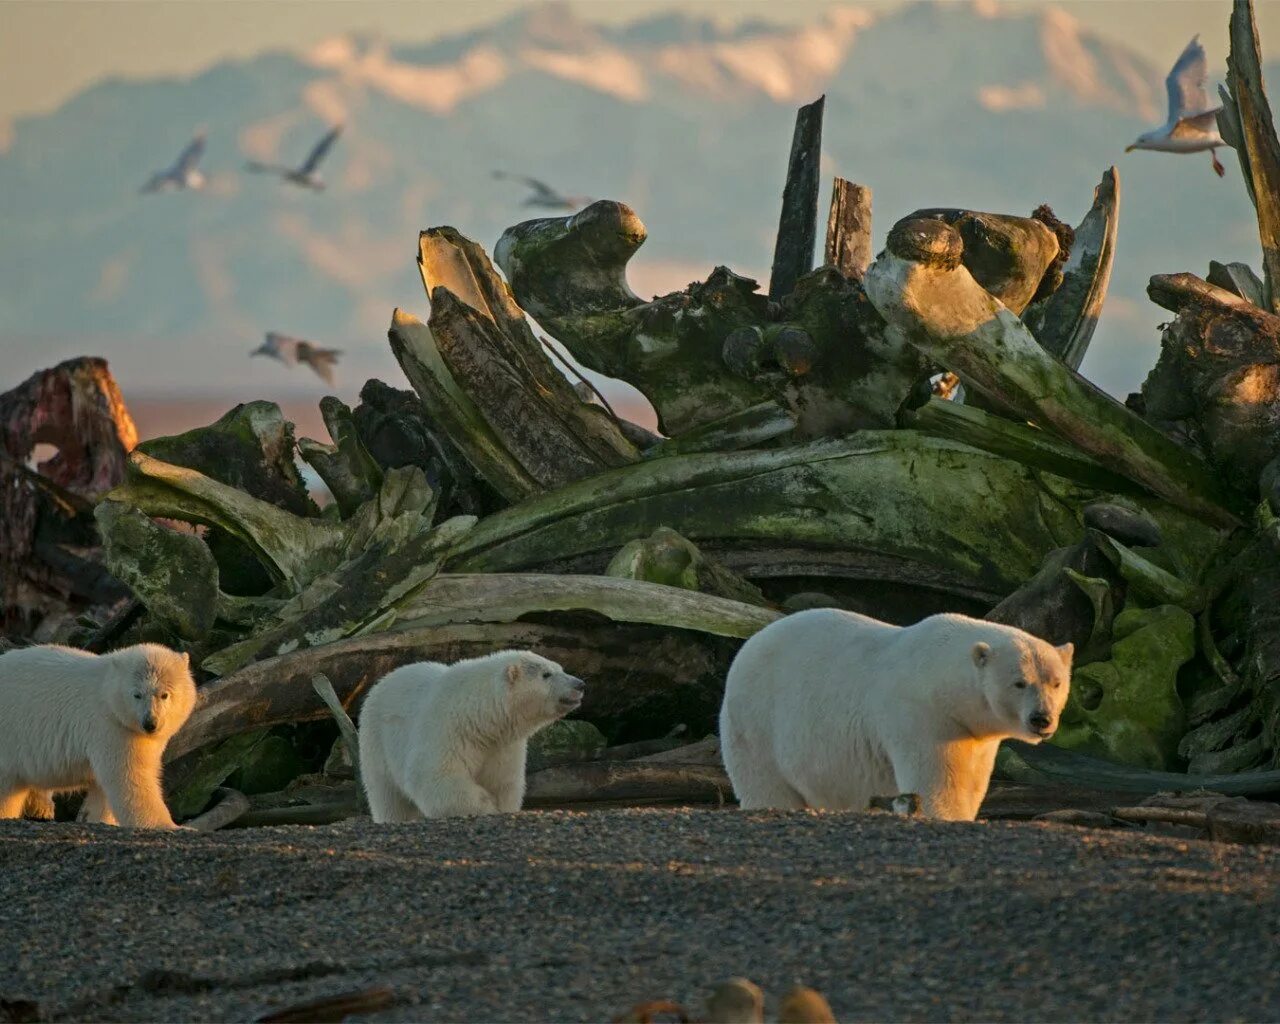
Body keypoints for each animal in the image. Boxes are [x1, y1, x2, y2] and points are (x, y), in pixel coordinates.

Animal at [0, 645, 197, 829]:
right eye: (137, 694)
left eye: (164, 694)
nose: (150, 723)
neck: (108, 692)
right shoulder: (110, 726)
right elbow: (129, 776)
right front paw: (171, 826)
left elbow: (102, 791)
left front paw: (98, 818)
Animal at [355, 647, 586, 824]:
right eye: (546, 674)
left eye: (561, 668)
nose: (580, 684)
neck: (478, 715)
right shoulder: (447, 729)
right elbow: (436, 776)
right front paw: (486, 805)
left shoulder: (503, 744)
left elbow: (503, 780)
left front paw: (501, 805)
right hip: (376, 741)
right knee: (387, 794)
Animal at [721, 611, 1070, 819]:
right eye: (1019, 682)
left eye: (1056, 682)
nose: (1041, 719)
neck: (940, 675)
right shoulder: (923, 715)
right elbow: (938, 782)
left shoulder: (972, 733)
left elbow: (972, 780)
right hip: (756, 721)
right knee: (766, 783)